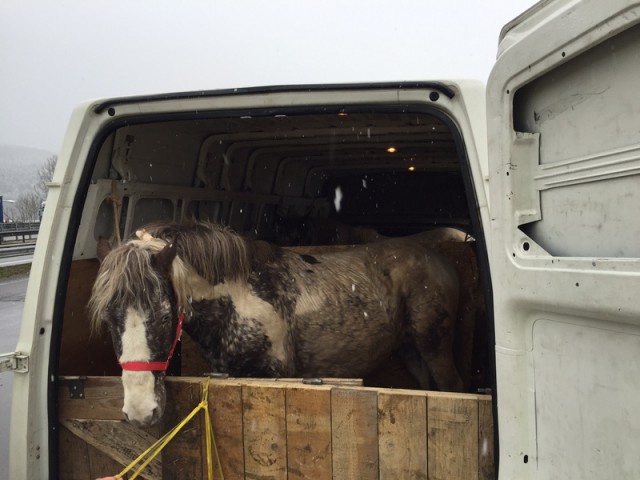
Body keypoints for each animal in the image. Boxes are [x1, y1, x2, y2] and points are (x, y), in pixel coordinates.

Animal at [89, 219, 460, 426]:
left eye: (166, 314)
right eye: (108, 319)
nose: (140, 412)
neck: (240, 299)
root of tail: (436, 258)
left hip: (437, 350)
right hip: (410, 350)